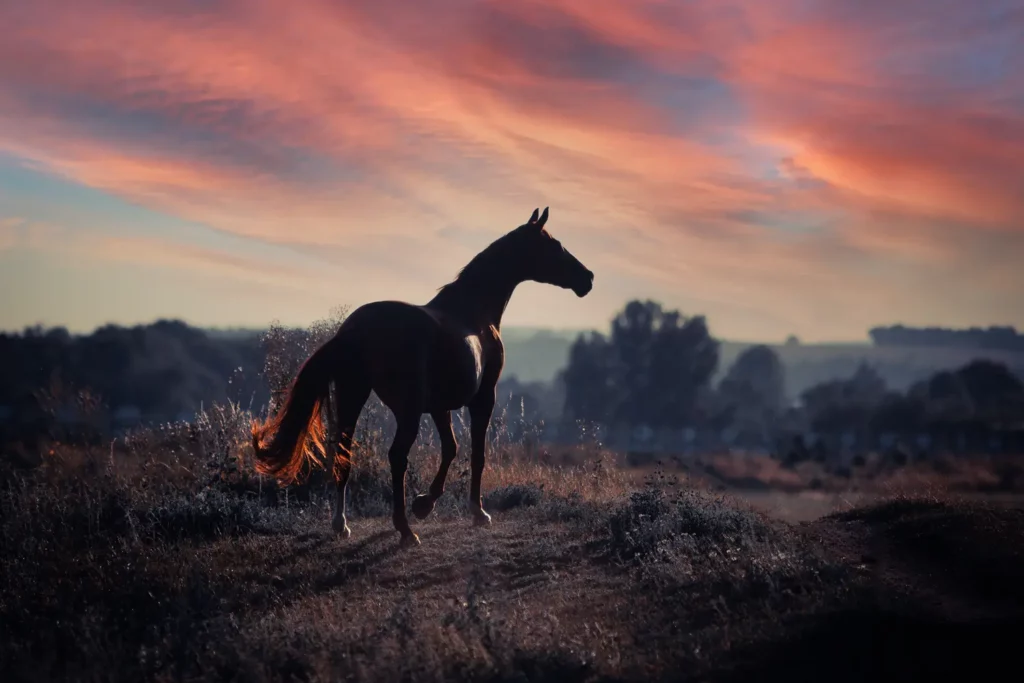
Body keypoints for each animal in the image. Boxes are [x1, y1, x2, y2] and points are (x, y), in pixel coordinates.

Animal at [251, 207, 594, 547]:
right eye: (554, 244)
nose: (588, 278)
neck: (474, 313)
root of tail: (353, 331)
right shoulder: (483, 398)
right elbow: (477, 453)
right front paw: (476, 512)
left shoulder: (439, 407)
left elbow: (451, 448)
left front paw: (424, 504)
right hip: (407, 410)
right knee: (396, 457)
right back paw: (405, 531)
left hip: (353, 398)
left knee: (343, 455)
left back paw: (341, 524)